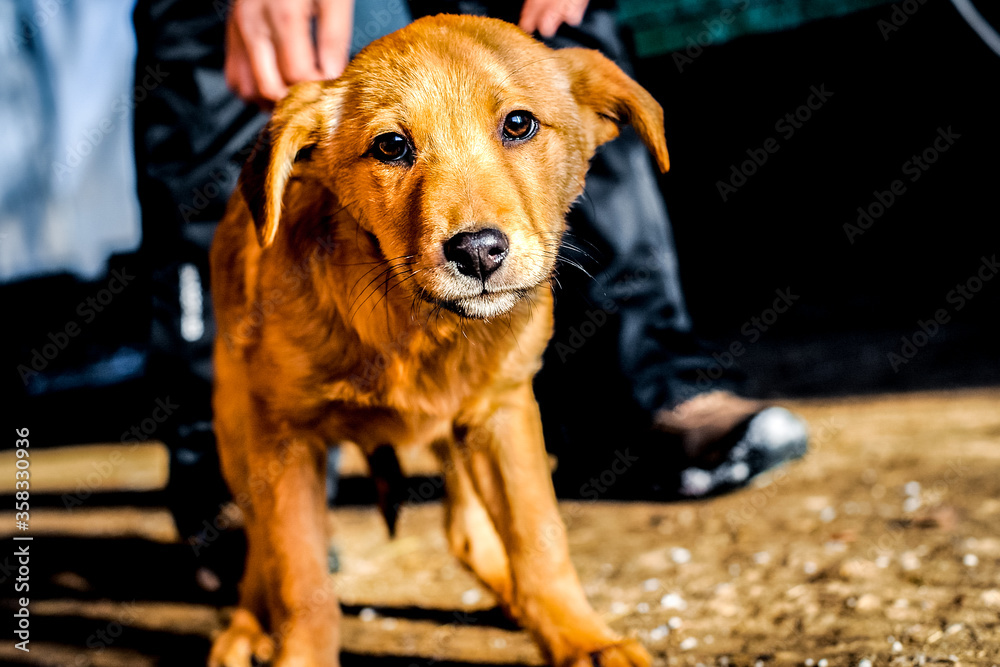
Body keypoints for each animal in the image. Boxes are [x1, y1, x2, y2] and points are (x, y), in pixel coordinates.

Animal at [207, 14, 668, 667]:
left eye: (519, 124)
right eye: (391, 146)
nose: (477, 252)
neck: (417, 323)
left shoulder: (503, 409)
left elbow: (539, 539)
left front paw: (581, 637)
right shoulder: (284, 435)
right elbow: (300, 577)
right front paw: (299, 655)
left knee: (467, 530)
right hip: (235, 428)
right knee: (259, 544)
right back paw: (247, 627)